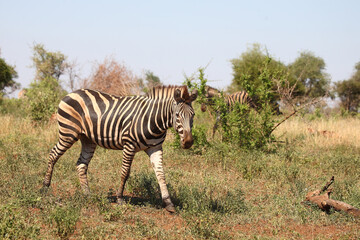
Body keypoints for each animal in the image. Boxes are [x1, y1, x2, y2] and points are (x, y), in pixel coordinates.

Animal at [44, 85, 200, 212]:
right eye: (177, 115)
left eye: (193, 115)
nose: (188, 142)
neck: (153, 120)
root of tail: (71, 93)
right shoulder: (129, 145)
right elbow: (125, 173)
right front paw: (119, 199)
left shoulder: (155, 148)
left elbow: (161, 174)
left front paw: (168, 203)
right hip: (68, 133)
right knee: (53, 155)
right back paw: (44, 188)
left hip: (87, 139)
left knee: (81, 164)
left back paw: (87, 195)